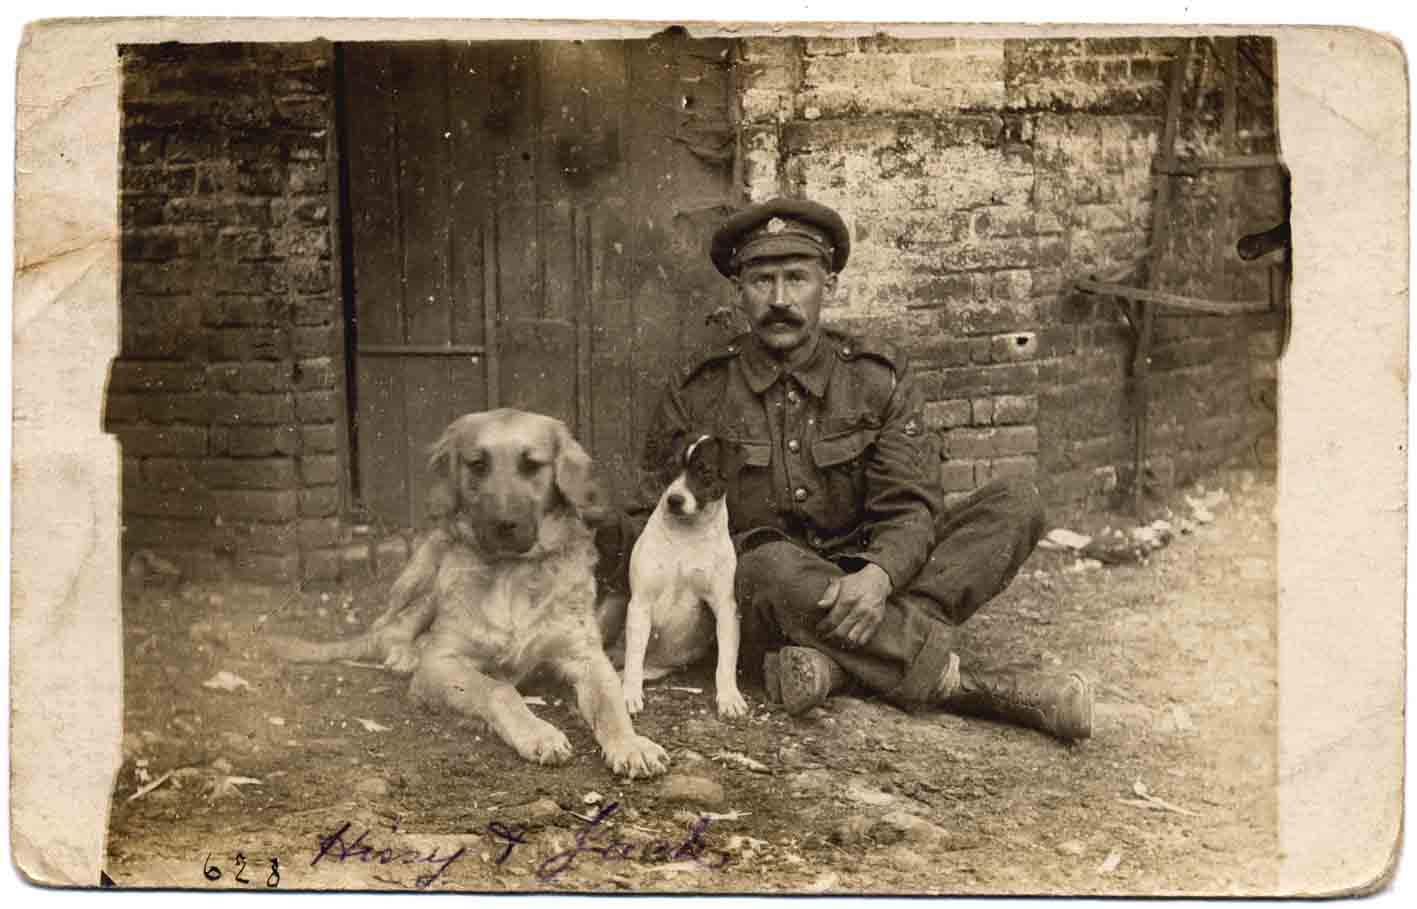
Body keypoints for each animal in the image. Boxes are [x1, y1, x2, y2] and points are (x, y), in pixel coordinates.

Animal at [270, 408, 668, 777]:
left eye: (532, 465)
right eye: (477, 464)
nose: (504, 524)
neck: (512, 571)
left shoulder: (585, 657)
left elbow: (611, 705)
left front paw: (632, 744)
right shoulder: (442, 663)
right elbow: (498, 690)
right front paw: (538, 733)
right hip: (425, 575)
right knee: (389, 628)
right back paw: (403, 654)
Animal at [623, 436, 753, 720]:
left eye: (704, 471)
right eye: (671, 466)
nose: (674, 499)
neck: (687, 535)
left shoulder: (726, 607)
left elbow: (726, 660)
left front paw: (729, 697)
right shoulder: (640, 604)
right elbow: (633, 655)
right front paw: (629, 695)